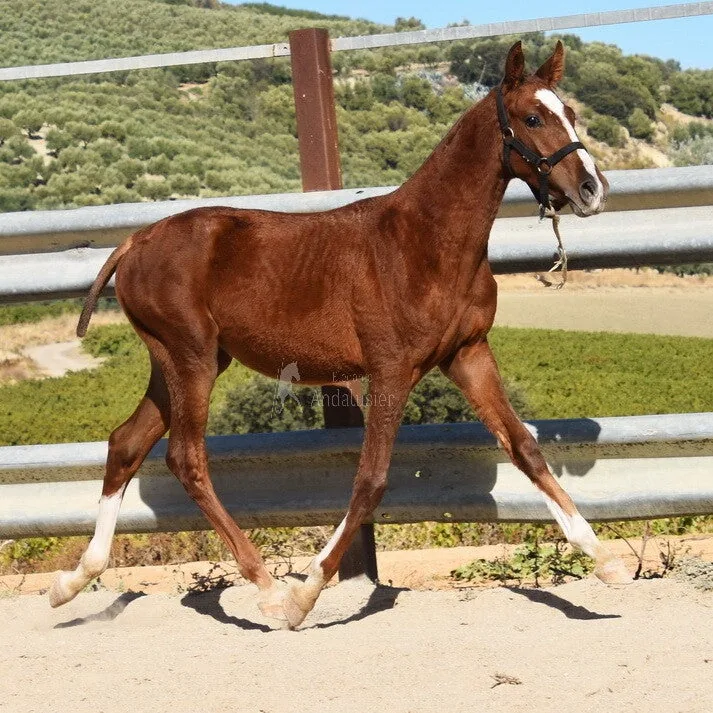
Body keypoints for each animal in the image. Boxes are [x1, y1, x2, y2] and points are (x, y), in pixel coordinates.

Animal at [50, 40, 631, 628]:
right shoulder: (392, 369)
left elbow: (523, 447)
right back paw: (267, 589)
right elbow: (371, 480)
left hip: (184, 362)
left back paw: (72, 582)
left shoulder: (468, 354)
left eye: (571, 113)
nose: (592, 189)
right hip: (188, 358)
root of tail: (134, 242)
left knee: (126, 443)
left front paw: (606, 561)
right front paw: (307, 591)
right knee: (186, 460)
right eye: (532, 118)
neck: (427, 243)